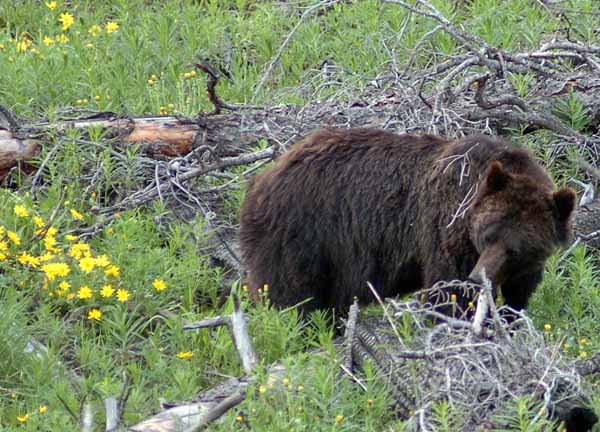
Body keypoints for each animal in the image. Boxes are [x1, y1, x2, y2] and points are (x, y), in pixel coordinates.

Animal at [239, 126, 576, 316]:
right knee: (294, 296)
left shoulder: (525, 268)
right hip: (302, 236)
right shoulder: (445, 228)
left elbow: (518, 297)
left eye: (517, 248)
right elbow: (447, 292)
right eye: (487, 234)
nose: (479, 277)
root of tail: (262, 178)